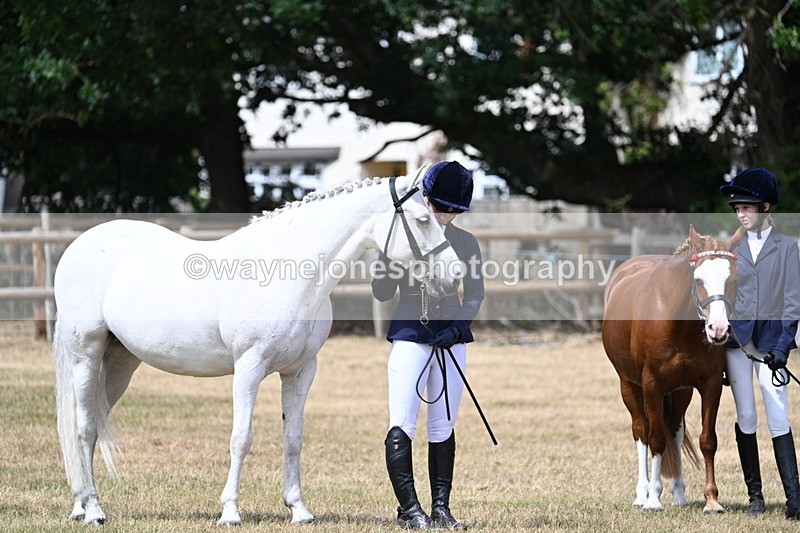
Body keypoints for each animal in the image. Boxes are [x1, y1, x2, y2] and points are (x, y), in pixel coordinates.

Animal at [52, 168, 462, 526]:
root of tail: (79, 245)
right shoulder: (248, 368)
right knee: (84, 427)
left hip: (119, 362)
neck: (286, 273)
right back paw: (94, 511)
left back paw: (80, 505)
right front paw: (230, 512)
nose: (455, 275)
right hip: (86, 354)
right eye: (422, 220)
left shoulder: (300, 371)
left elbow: (293, 438)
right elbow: (241, 438)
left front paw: (299, 510)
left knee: (89, 426)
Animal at [602, 224, 744, 513]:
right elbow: (656, 438)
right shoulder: (652, 386)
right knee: (641, 432)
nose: (718, 329)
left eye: (733, 279)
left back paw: (679, 494)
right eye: (698, 280)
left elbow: (707, 440)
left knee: (675, 432)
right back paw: (642, 494)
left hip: (680, 392)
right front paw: (654, 500)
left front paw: (712, 500)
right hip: (629, 386)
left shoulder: (710, 385)